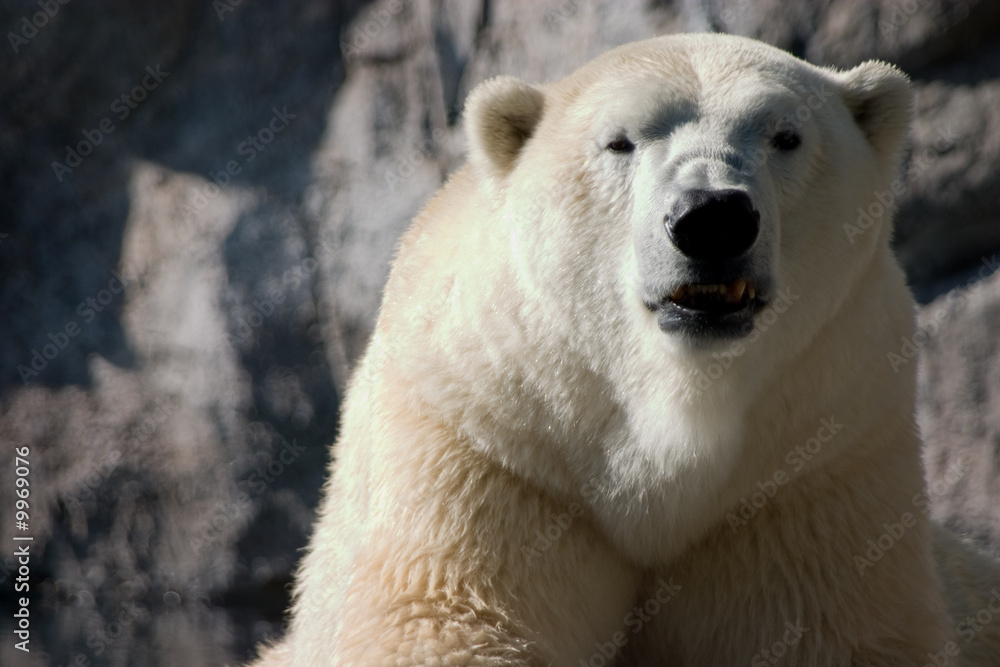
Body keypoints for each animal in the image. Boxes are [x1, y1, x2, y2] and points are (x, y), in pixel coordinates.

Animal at [251, 33, 1000, 666]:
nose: (712, 217)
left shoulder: (815, 459)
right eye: (619, 142)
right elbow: (446, 619)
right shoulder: (490, 443)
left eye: (786, 135)